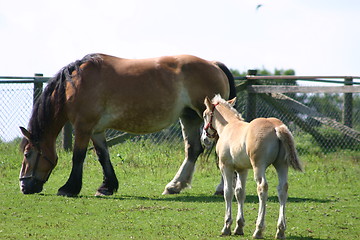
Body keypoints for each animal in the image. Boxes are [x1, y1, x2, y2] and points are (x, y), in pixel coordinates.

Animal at [19, 54, 236, 197]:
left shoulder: (83, 127)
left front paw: (68, 188)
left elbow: (78, 156)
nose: (23, 186)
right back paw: (174, 186)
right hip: (189, 117)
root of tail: (214, 65)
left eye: (28, 154)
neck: (76, 84)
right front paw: (107, 187)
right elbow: (103, 156)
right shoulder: (96, 130)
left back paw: (220, 188)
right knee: (193, 150)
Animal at [201, 94, 302, 239]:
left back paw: (258, 230)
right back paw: (280, 230)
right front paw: (239, 227)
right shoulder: (242, 170)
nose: (204, 139)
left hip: (259, 166)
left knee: (262, 187)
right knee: (282, 189)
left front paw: (227, 227)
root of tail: (276, 126)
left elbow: (228, 192)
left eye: (205, 115)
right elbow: (240, 193)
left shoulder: (226, 167)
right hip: (281, 165)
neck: (228, 126)